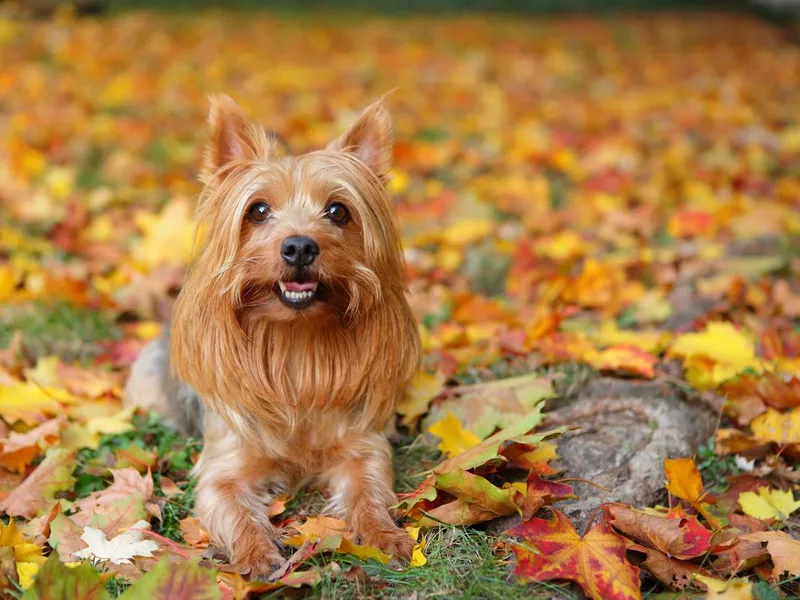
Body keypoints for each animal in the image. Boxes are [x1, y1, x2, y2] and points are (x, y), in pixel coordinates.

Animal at [123, 95, 418, 576]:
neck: (294, 343)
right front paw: (256, 553)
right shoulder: (224, 467)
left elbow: (369, 489)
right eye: (258, 210)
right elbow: (233, 507)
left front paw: (384, 534)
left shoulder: (362, 447)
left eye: (338, 211)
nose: (299, 246)